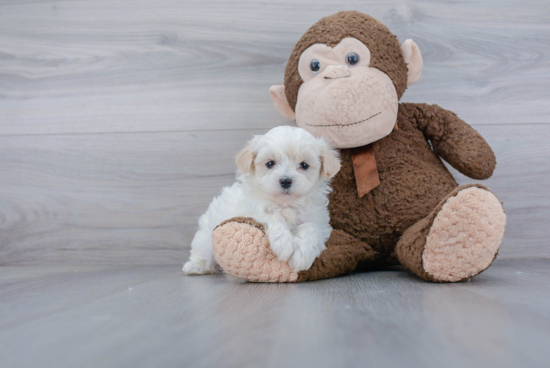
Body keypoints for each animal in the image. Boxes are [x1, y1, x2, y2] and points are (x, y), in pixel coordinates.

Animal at [183, 125, 342, 274]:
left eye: (304, 165)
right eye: (270, 163)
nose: (285, 180)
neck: (285, 203)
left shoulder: (318, 221)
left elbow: (311, 228)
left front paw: (302, 254)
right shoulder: (252, 212)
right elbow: (273, 216)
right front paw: (283, 244)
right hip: (205, 239)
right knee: (202, 254)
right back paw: (194, 267)